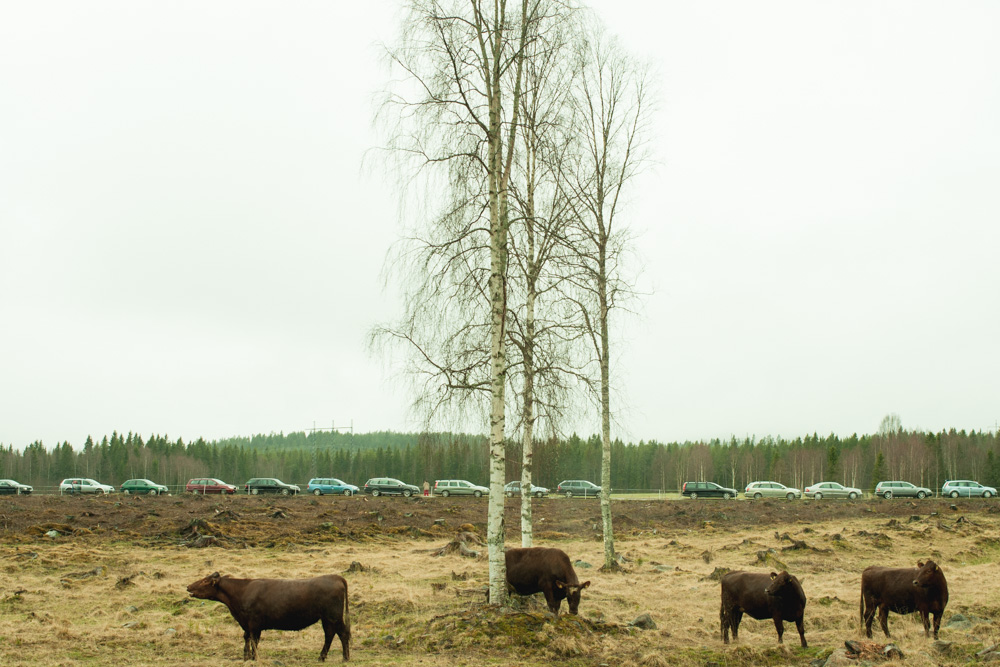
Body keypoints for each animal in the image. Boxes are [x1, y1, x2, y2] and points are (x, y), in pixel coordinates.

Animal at [188, 576, 352, 664]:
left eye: (204, 581)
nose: (188, 586)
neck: (242, 592)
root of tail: (335, 577)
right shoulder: (247, 625)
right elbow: (247, 639)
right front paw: (247, 657)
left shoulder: (254, 625)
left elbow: (254, 642)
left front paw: (254, 658)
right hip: (327, 619)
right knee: (330, 635)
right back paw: (321, 658)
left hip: (334, 617)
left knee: (343, 634)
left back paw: (345, 658)